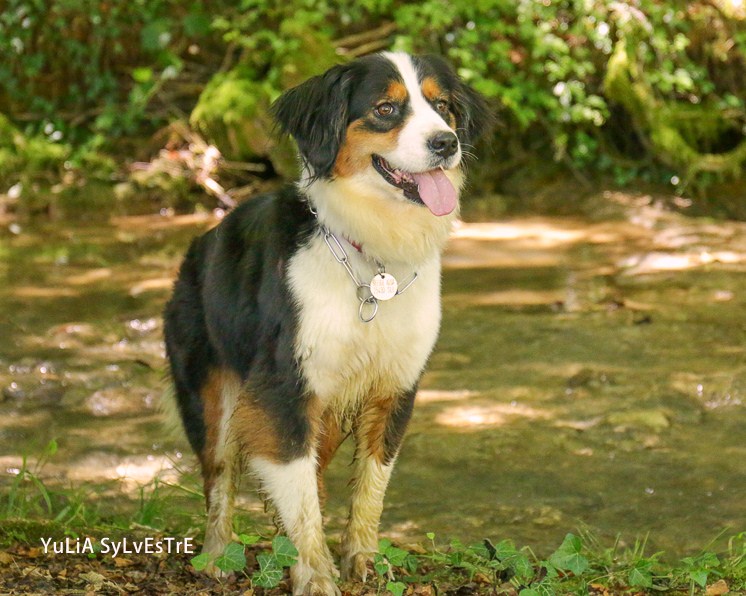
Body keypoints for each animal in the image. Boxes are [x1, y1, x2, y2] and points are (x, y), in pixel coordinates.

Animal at [163, 52, 488, 596]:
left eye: (443, 106)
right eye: (385, 109)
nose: (446, 142)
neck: (372, 255)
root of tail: (197, 247)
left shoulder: (393, 388)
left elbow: (369, 486)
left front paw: (362, 563)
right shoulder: (283, 388)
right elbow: (300, 497)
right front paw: (315, 576)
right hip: (213, 398)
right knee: (220, 473)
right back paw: (215, 556)